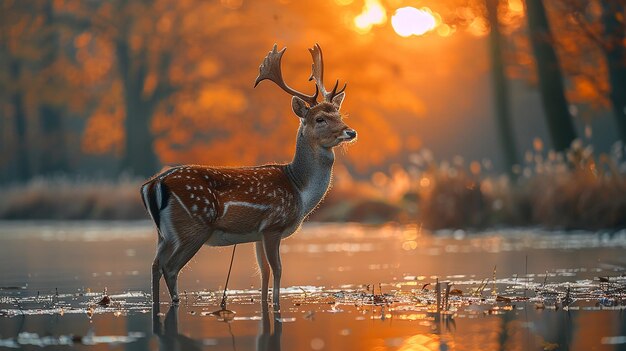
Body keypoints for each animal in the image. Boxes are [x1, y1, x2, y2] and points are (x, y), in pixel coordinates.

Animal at [141, 44, 356, 310]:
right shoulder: (274, 225)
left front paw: (266, 304)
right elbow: (278, 269)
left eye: (340, 114)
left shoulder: (257, 234)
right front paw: (277, 305)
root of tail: (153, 185)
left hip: (164, 234)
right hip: (194, 226)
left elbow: (263, 272)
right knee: (170, 268)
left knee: (154, 265)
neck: (299, 190)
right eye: (320, 118)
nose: (351, 132)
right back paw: (176, 302)